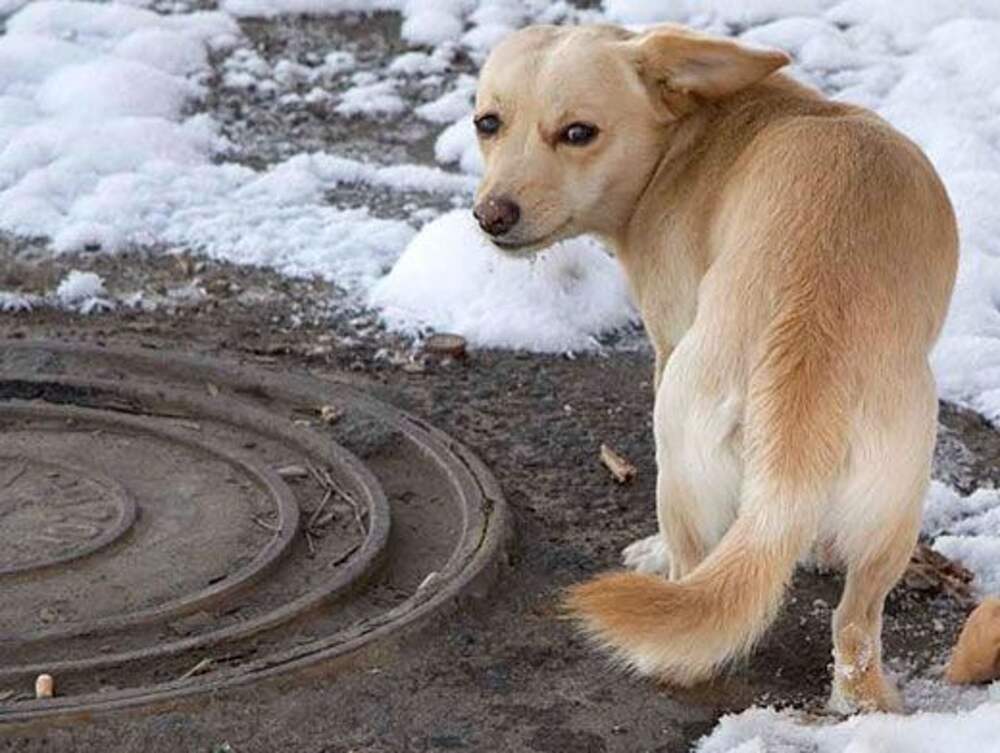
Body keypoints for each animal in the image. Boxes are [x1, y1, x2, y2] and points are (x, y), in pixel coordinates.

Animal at [472, 25, 956, 712]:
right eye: (487, 123)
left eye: (578, 133)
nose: (492, 215)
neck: (685, 138)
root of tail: (807, 366)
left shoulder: (668, 333)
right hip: (895, 511)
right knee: (854, 628)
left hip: (677, 440)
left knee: (690, 578)